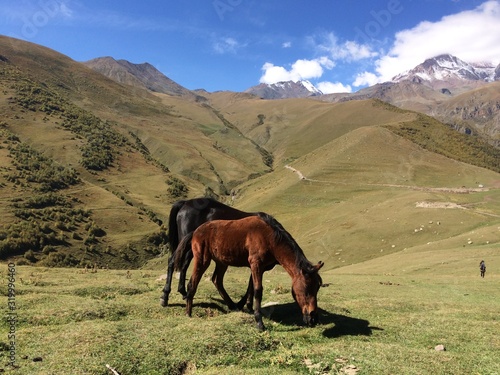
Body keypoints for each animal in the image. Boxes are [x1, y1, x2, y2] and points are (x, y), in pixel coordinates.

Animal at [175, 213, 324, 330]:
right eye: (306, 290)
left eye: (317, 288)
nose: (313, 319)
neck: (269, 237)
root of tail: (195, 231)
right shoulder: (255, 264)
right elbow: (258, 290)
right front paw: (259, 323)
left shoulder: (259, 268)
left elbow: (251, 288)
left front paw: (247, 307)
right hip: (202, 260)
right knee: (193, 283)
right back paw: (188, 312)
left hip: (222, 262)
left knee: (217, 280)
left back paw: (232, 305)